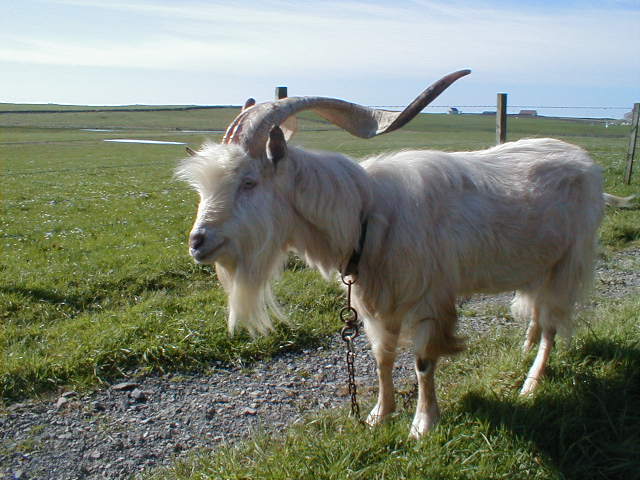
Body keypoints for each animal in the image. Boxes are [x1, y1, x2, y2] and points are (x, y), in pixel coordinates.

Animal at [177, 70, 608, 438]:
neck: (366, 213)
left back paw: (532, 383)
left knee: (552, 322)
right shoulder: (375, 303)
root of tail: (584, 160)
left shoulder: (429, 299)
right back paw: (525, 348)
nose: (197, 243)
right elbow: (381, 358)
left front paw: (423, 425)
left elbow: (422, 362)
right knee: (536, 310)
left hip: (569, 262)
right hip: (538, 262)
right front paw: (378, 416)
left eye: (249, 182)